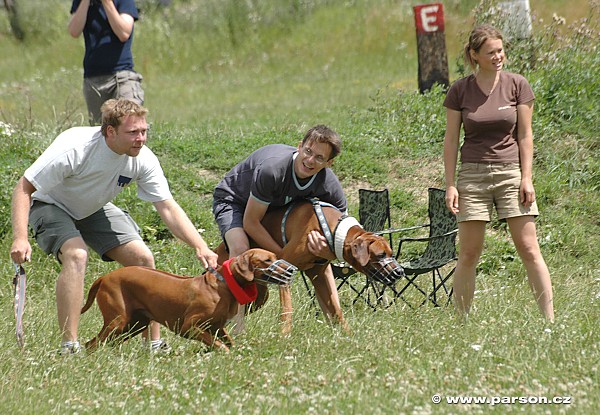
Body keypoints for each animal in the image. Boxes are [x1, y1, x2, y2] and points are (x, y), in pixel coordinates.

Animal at [79, 249, 296, 352]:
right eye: (267, 260)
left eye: (275, 256)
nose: (292, 269)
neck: (224, 284)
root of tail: (104, 277)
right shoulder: (188, 327)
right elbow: (219, 344)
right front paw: (224, 352)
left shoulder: (218, 327)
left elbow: (229, 341)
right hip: (118, 321)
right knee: (93, 344)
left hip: (135, 324)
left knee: (102, 343)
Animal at [214, 199, 404, 334]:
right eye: (381, 255)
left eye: (391, 253)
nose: (400, 271)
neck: (332, 229)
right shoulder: (285, 269)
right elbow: (287, 309)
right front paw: (284, 334)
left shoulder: (320, 275)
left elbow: (336, 309)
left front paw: (348, 335)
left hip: (259, 297)